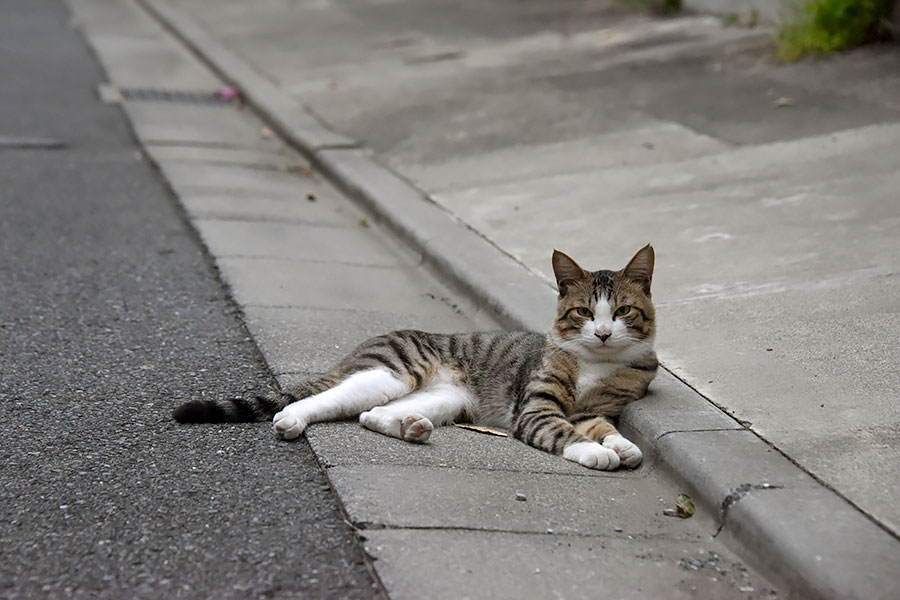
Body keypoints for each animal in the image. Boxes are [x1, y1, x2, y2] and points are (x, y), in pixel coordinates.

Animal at [174, 246, 652, 472]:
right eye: (584, 313)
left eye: (622, 312)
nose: (604, 333)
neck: (597, 363)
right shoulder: (536, 410)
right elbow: (563, 431)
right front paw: (594, 453)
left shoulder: (593, 409)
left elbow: (603, 427)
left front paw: (622, 446)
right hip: (395, 371)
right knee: (321, 400)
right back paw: (291, 419)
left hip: (444, 398)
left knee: (370, 414)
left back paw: (411, 428)